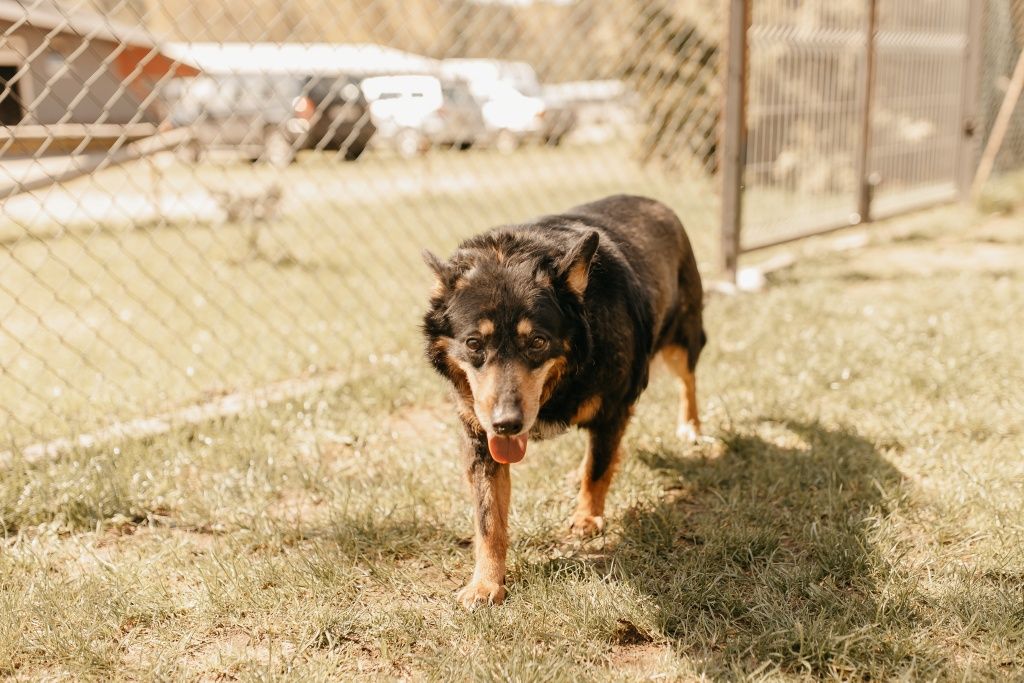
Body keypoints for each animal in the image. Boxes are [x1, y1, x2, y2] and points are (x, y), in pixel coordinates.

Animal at [417, 193, 704, 610]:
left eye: (537, 342)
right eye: (473, 343)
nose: (506, 424)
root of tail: (651, 201)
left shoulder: (614, 409)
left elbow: (598, 469)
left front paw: (587, 518)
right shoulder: (480, 439)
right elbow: (488, 521)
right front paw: (486, 584)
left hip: (682, 338)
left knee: (688, 380)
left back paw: (691, 427)